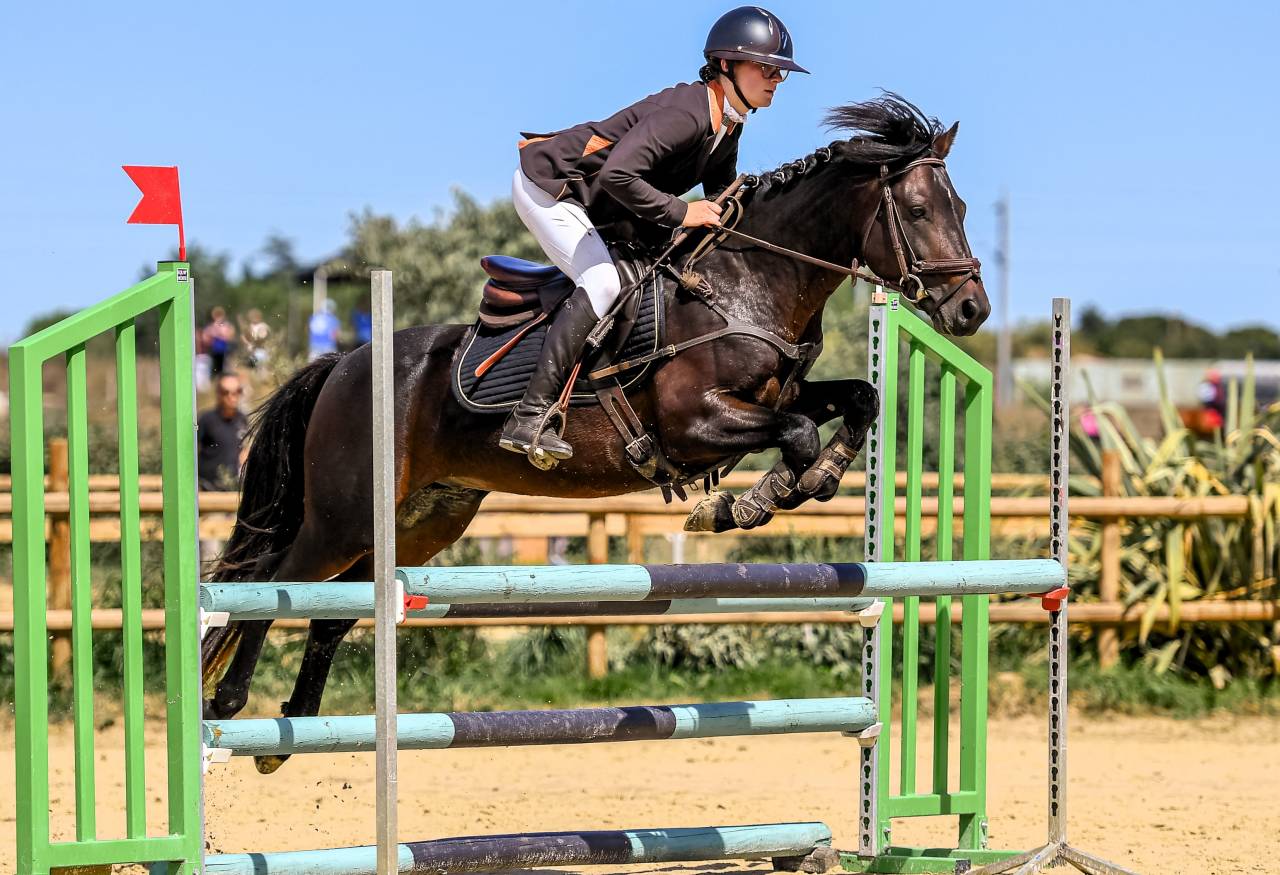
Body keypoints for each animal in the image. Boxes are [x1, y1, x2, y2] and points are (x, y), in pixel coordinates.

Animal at [202, 95, 990, 774]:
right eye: (918, 209)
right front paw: (743, 503)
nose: (972, 309)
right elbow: (794, 434)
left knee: (333, 611)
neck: (748, 280)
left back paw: (292, 728)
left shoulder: (782, 392)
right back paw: (228, 703)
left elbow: (859, 399)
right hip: (341, 517)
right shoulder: (694, 421)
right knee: (276, 583)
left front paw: (808, 481)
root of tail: (342, 364)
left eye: (961, 208)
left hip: (421, 518)